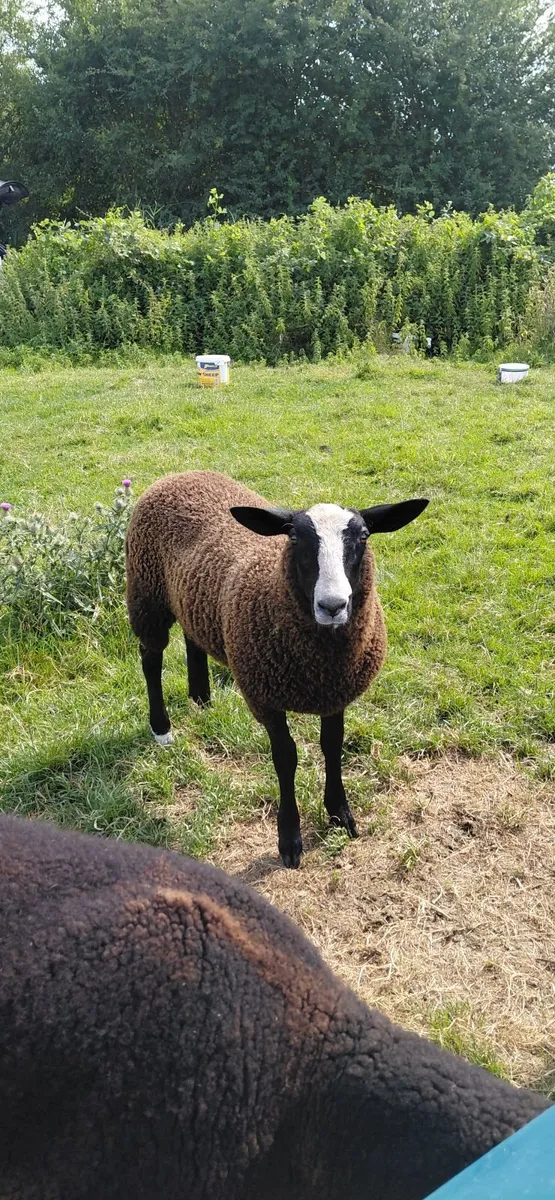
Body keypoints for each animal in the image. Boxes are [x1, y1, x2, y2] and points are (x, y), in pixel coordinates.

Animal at [126, 470, 428, 868]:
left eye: (363, 536)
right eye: (295, 538)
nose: (333, 606)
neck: (319, 666)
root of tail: (180, 474)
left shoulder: (336, 693)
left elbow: (332, 745)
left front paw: (340, 812)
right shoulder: (264, 697)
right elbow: (286, 758)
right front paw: (290, 839)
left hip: (190, 596)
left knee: (193, 638)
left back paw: (201, 698)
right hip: (147, 594)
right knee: (150, 660)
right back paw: (161, 728)